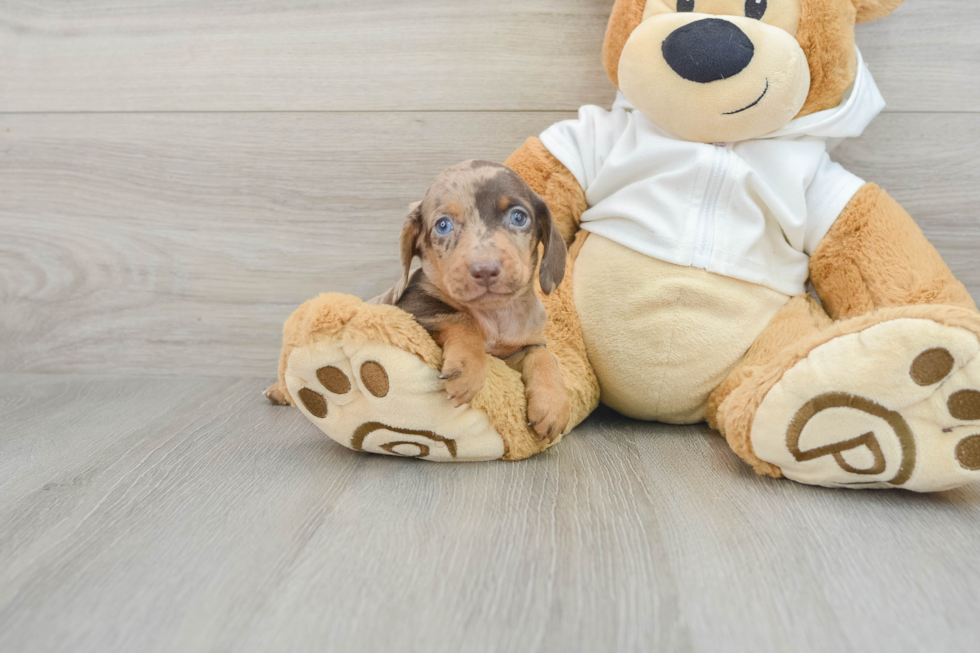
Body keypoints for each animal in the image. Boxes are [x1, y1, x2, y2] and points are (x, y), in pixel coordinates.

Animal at [372, 160, 572, 440]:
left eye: (519, 217)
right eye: (443, 225)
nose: (485, 269)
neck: (493, 314)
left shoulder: (521, 348)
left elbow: (544, 356)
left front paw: (553, 403)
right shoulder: (414, 305)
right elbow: (461, 319)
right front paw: (469, 369)